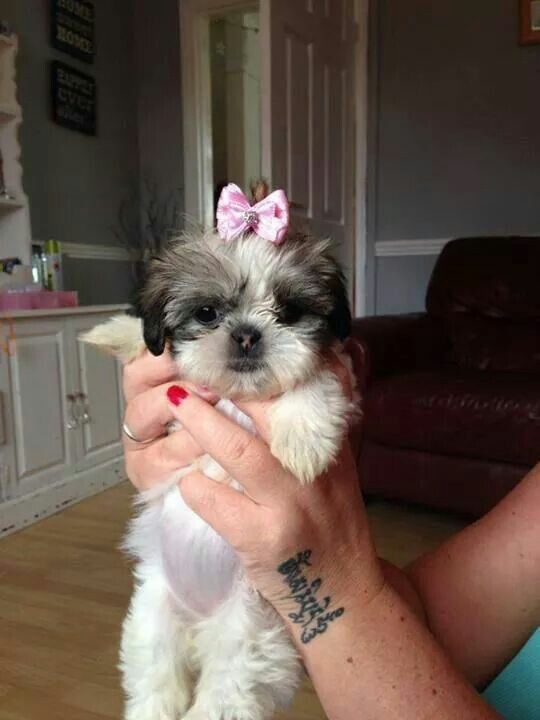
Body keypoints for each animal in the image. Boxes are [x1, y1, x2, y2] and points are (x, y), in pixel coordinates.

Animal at [83, 226, 354, 720]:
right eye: (207, 313)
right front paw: (113, 331)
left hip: (250, 629)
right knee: (155, 676)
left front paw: (303, 437)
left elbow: (314, 375)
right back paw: (151, 708)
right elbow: (150, 344)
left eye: (290, 311)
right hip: (153, 618)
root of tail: (201, 625)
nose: (247, 334)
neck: (236, 398)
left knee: (228, 688)